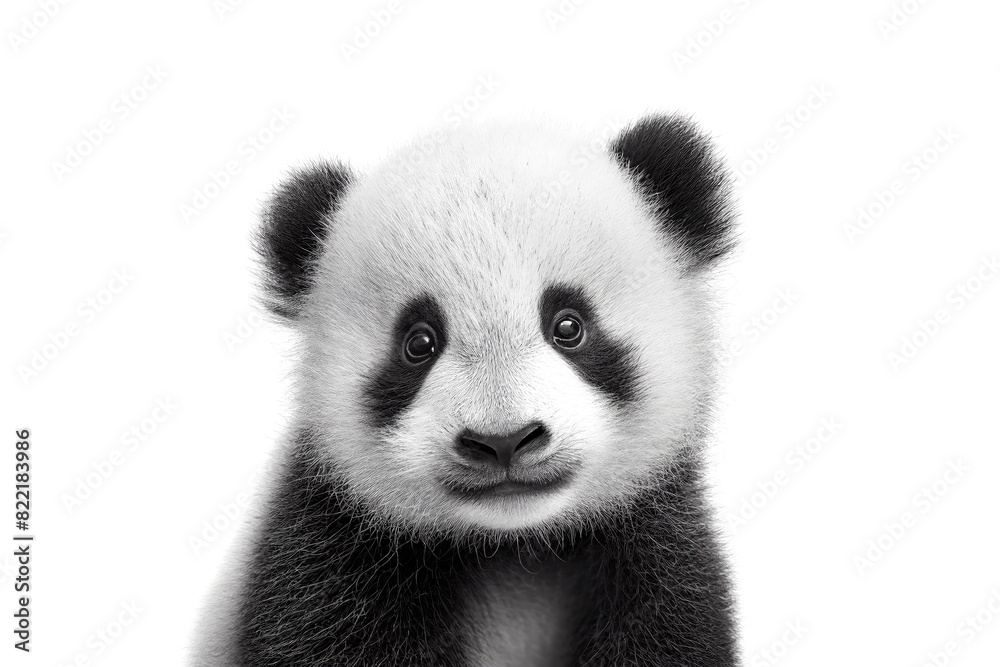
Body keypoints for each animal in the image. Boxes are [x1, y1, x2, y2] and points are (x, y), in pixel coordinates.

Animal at [191, 114, 739, 666]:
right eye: (418, 343)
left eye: (569, 326)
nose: (504, 441)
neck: (512, 545)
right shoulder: (328, 555)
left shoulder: (661, 552)